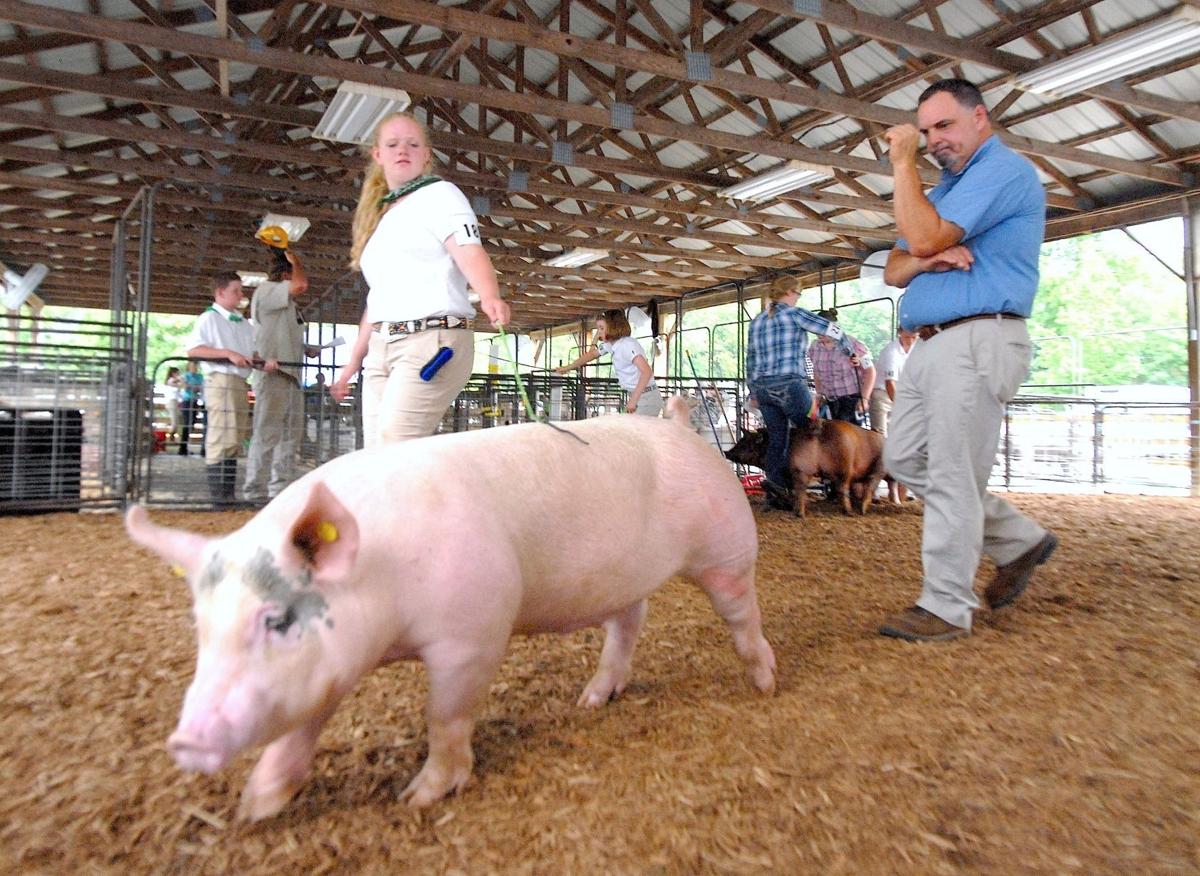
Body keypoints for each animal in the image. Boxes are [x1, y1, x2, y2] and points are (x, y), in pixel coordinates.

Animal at [125, 397, 776, 821]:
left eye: (276, 620)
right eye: (201, 628)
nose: (185, 742)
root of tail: (681, 427)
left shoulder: (474, 631)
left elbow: (445, 716)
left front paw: (417, 798)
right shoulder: (329, 664)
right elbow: (301, 726)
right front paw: (255, 806)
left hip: (726, 542)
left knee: (741, 608)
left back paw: (764, 682)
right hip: (621, 578)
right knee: (629, 620)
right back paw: (591, 701)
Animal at [724, 419, 892, 518]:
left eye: (746, 444)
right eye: (741, 440)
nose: (727, 452)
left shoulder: (800, 471)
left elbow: (799, 490)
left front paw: (798, 512)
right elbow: (791, 490)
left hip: (852, 468)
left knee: (856, 486)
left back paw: (855, 511)